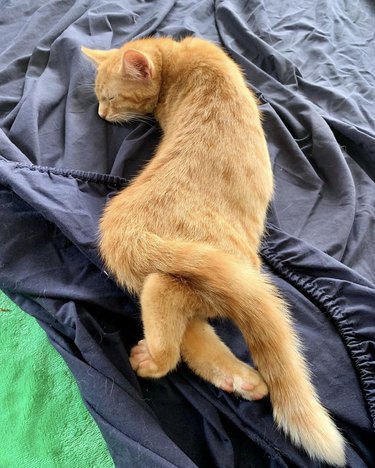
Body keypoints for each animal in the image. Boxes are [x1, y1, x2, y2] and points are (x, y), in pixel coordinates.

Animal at [82, 35, 346, 464]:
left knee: (182, 318)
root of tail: (129, 233)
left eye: (112, 98)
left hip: (209, 279)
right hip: (226, 275)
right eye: (100, 99)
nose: (102, 113)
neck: (178, 59)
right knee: (177, 312)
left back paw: (222, 376)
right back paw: (196, 369)